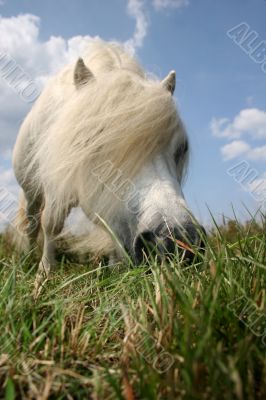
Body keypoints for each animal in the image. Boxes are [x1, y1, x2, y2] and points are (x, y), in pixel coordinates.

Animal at [11, 39, 204, 292]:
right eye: (98, 143)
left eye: (181, 148)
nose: (175, 243)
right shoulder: (56, 189)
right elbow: (51, 225)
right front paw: (43, 276)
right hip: (32, 190)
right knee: (32, 222)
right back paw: (26, 258)